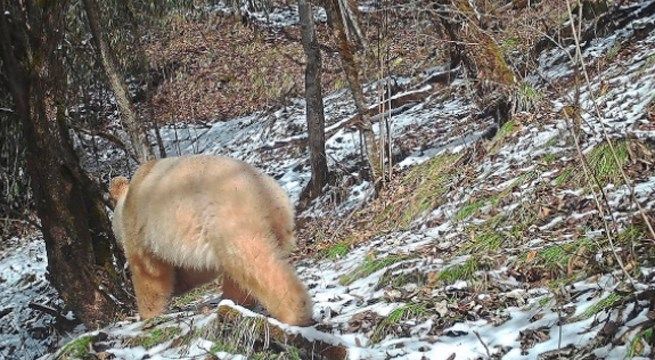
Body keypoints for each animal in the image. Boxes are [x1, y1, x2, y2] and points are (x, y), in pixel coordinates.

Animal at [109, 155, 314, 326]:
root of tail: (267, 193)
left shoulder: (140, 225)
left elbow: (149, 271)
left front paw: (147, 314)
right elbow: (195, 270)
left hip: (230, 215)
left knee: (254, 260)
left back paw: (295, 312)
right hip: (274, 225)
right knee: (239, 271)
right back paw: (234, 301)